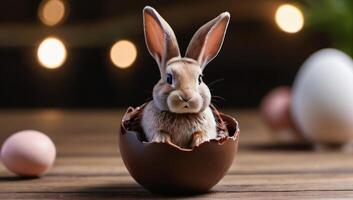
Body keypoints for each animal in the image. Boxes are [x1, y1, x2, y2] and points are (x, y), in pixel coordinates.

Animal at [140, 5, 231, 148]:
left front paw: (200, 141)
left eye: (200, 79)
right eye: (169, 78)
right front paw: (162, 140)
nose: (186, 97)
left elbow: (200, 133)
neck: (183, 115)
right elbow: (160, 132)